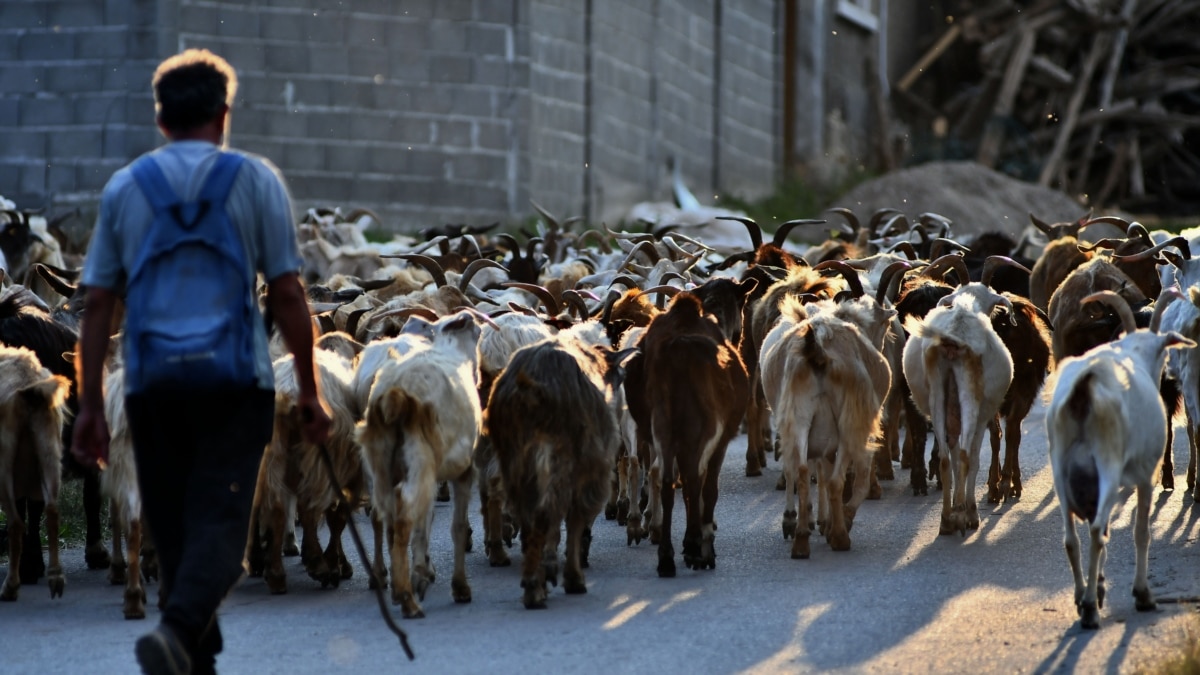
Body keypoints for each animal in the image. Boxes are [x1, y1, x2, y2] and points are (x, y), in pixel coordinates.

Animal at [902, 281, 1012, 533]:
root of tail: (954, 334)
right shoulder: (983, 416)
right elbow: (972, 458)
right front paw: (967, 510)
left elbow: (951, 456)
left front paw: (954, 506)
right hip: (970, 394)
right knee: (965, 455)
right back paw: (966, 516)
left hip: (937, 392)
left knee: (945, 458)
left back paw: (946, 519)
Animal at [1046, 291, 1185, 629]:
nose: (1166, 378)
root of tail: (1084, 387)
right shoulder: (1146, 473)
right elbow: (1141, 532)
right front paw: (1142, 594)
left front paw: (1099, 586)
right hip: (1107, 463)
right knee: (1096, 531)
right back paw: (1090, 611)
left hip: (1061, 467)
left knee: (1072, 538)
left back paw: (1082, 598)